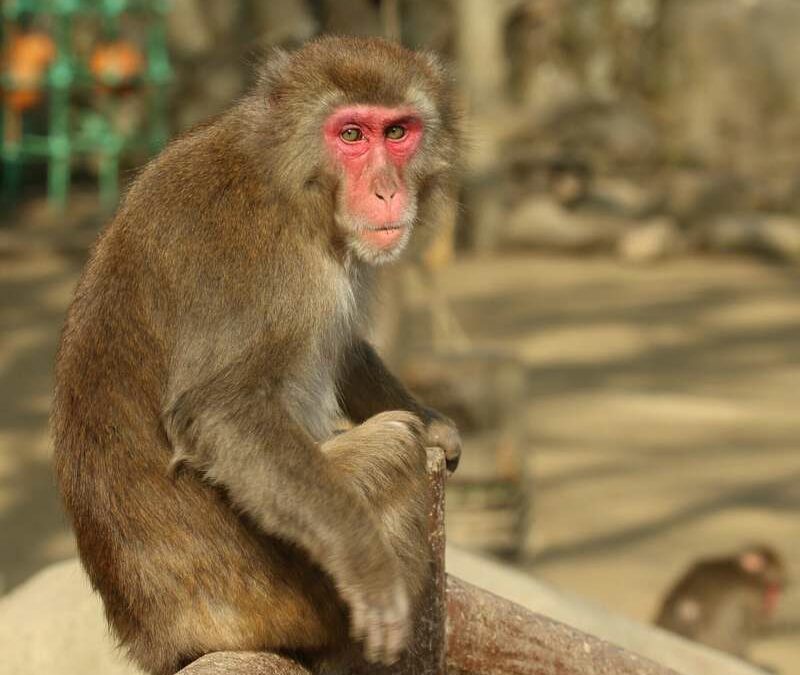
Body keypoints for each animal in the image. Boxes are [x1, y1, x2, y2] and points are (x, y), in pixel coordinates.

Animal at [51, 36, 462, 675]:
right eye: (351, 134)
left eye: (397, 132)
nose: (387, 191)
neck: (292, 184)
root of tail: (156, 637)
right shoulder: (254, 254)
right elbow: (221, 410)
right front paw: (366, 561)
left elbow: (340, 347)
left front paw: (436, 422)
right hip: (275, 600)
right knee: (394, 448)